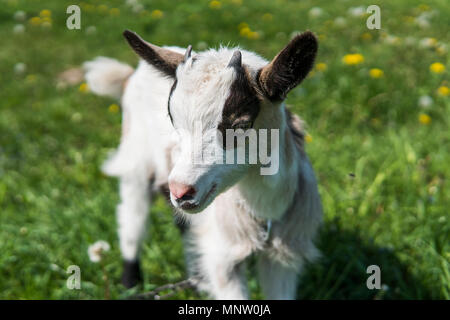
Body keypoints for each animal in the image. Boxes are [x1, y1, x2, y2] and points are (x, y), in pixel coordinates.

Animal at [84, 30, 322, 300]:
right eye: (173, 120)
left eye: (240, 125)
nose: (181, 191)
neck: (264, 215)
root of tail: (130, 76)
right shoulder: (223, 258)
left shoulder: (284, 254)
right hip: (136, 160)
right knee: (132, 218)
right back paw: (130, 283)